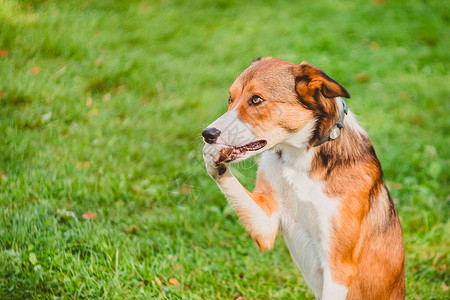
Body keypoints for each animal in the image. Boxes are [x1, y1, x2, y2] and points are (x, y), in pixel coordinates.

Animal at [202, 57, 406, 298]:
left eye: (256, 99)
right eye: (230, 99)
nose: (207, 134)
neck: (300, 159)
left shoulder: (338, 268)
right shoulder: (266, 226)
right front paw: (211, 157)